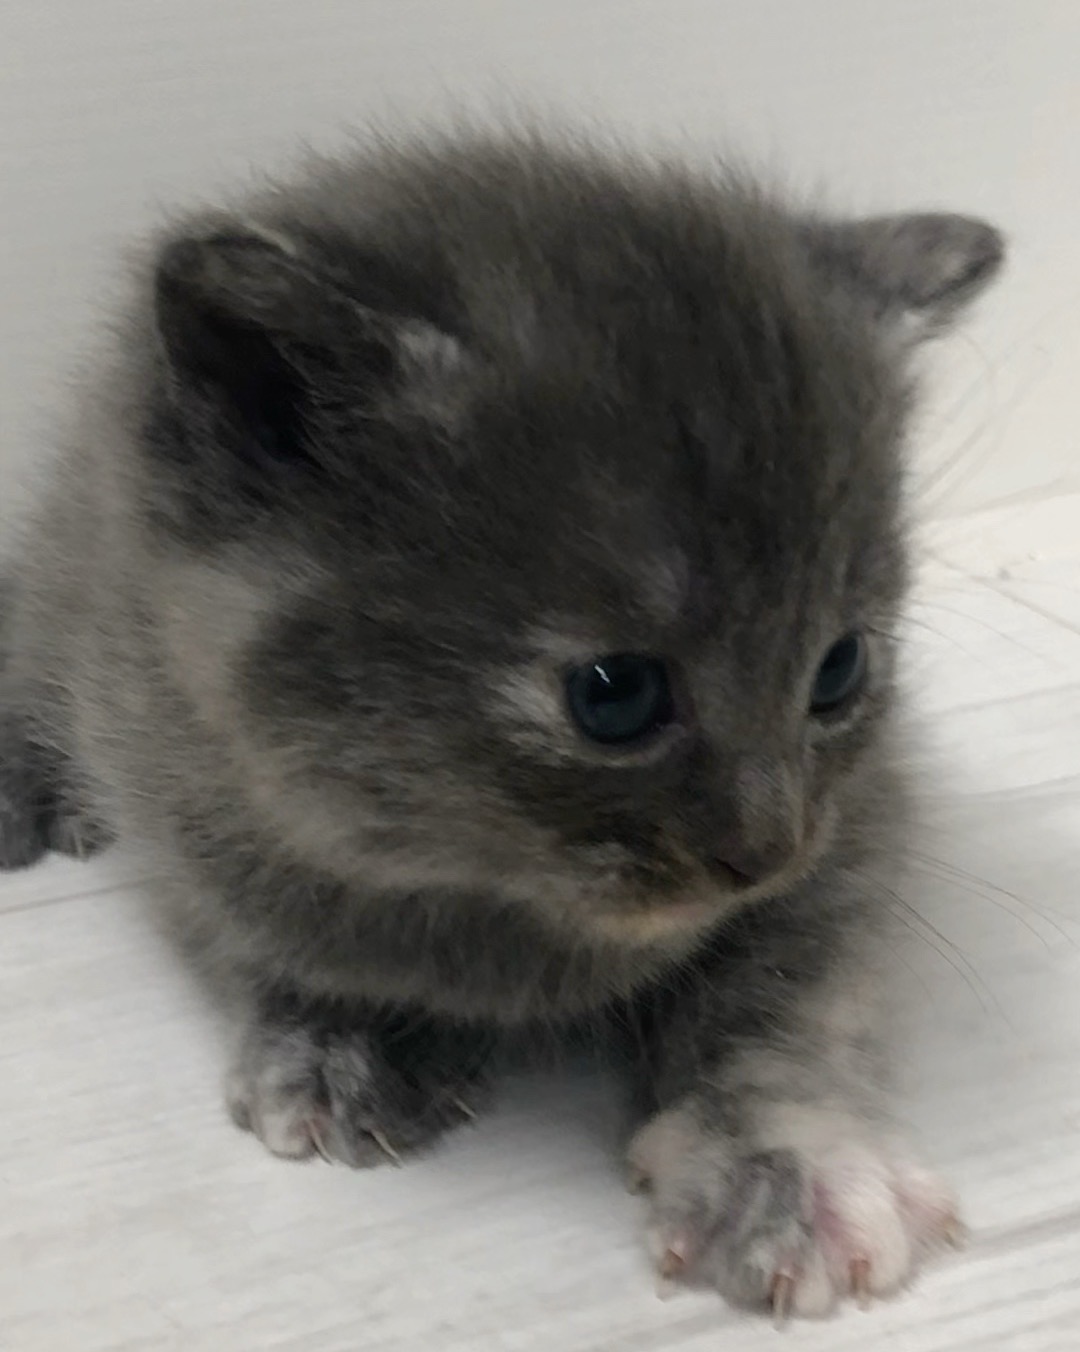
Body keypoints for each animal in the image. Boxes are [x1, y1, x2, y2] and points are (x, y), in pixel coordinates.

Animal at [0, 128, 1003, 1319]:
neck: (507, 903)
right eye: (615, 695)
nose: (764, 851)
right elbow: (265, 925)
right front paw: (350, 1034)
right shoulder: (167, 753)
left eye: (840, 669)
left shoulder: (857, 825)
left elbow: (792, 988)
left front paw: (785, 1161)